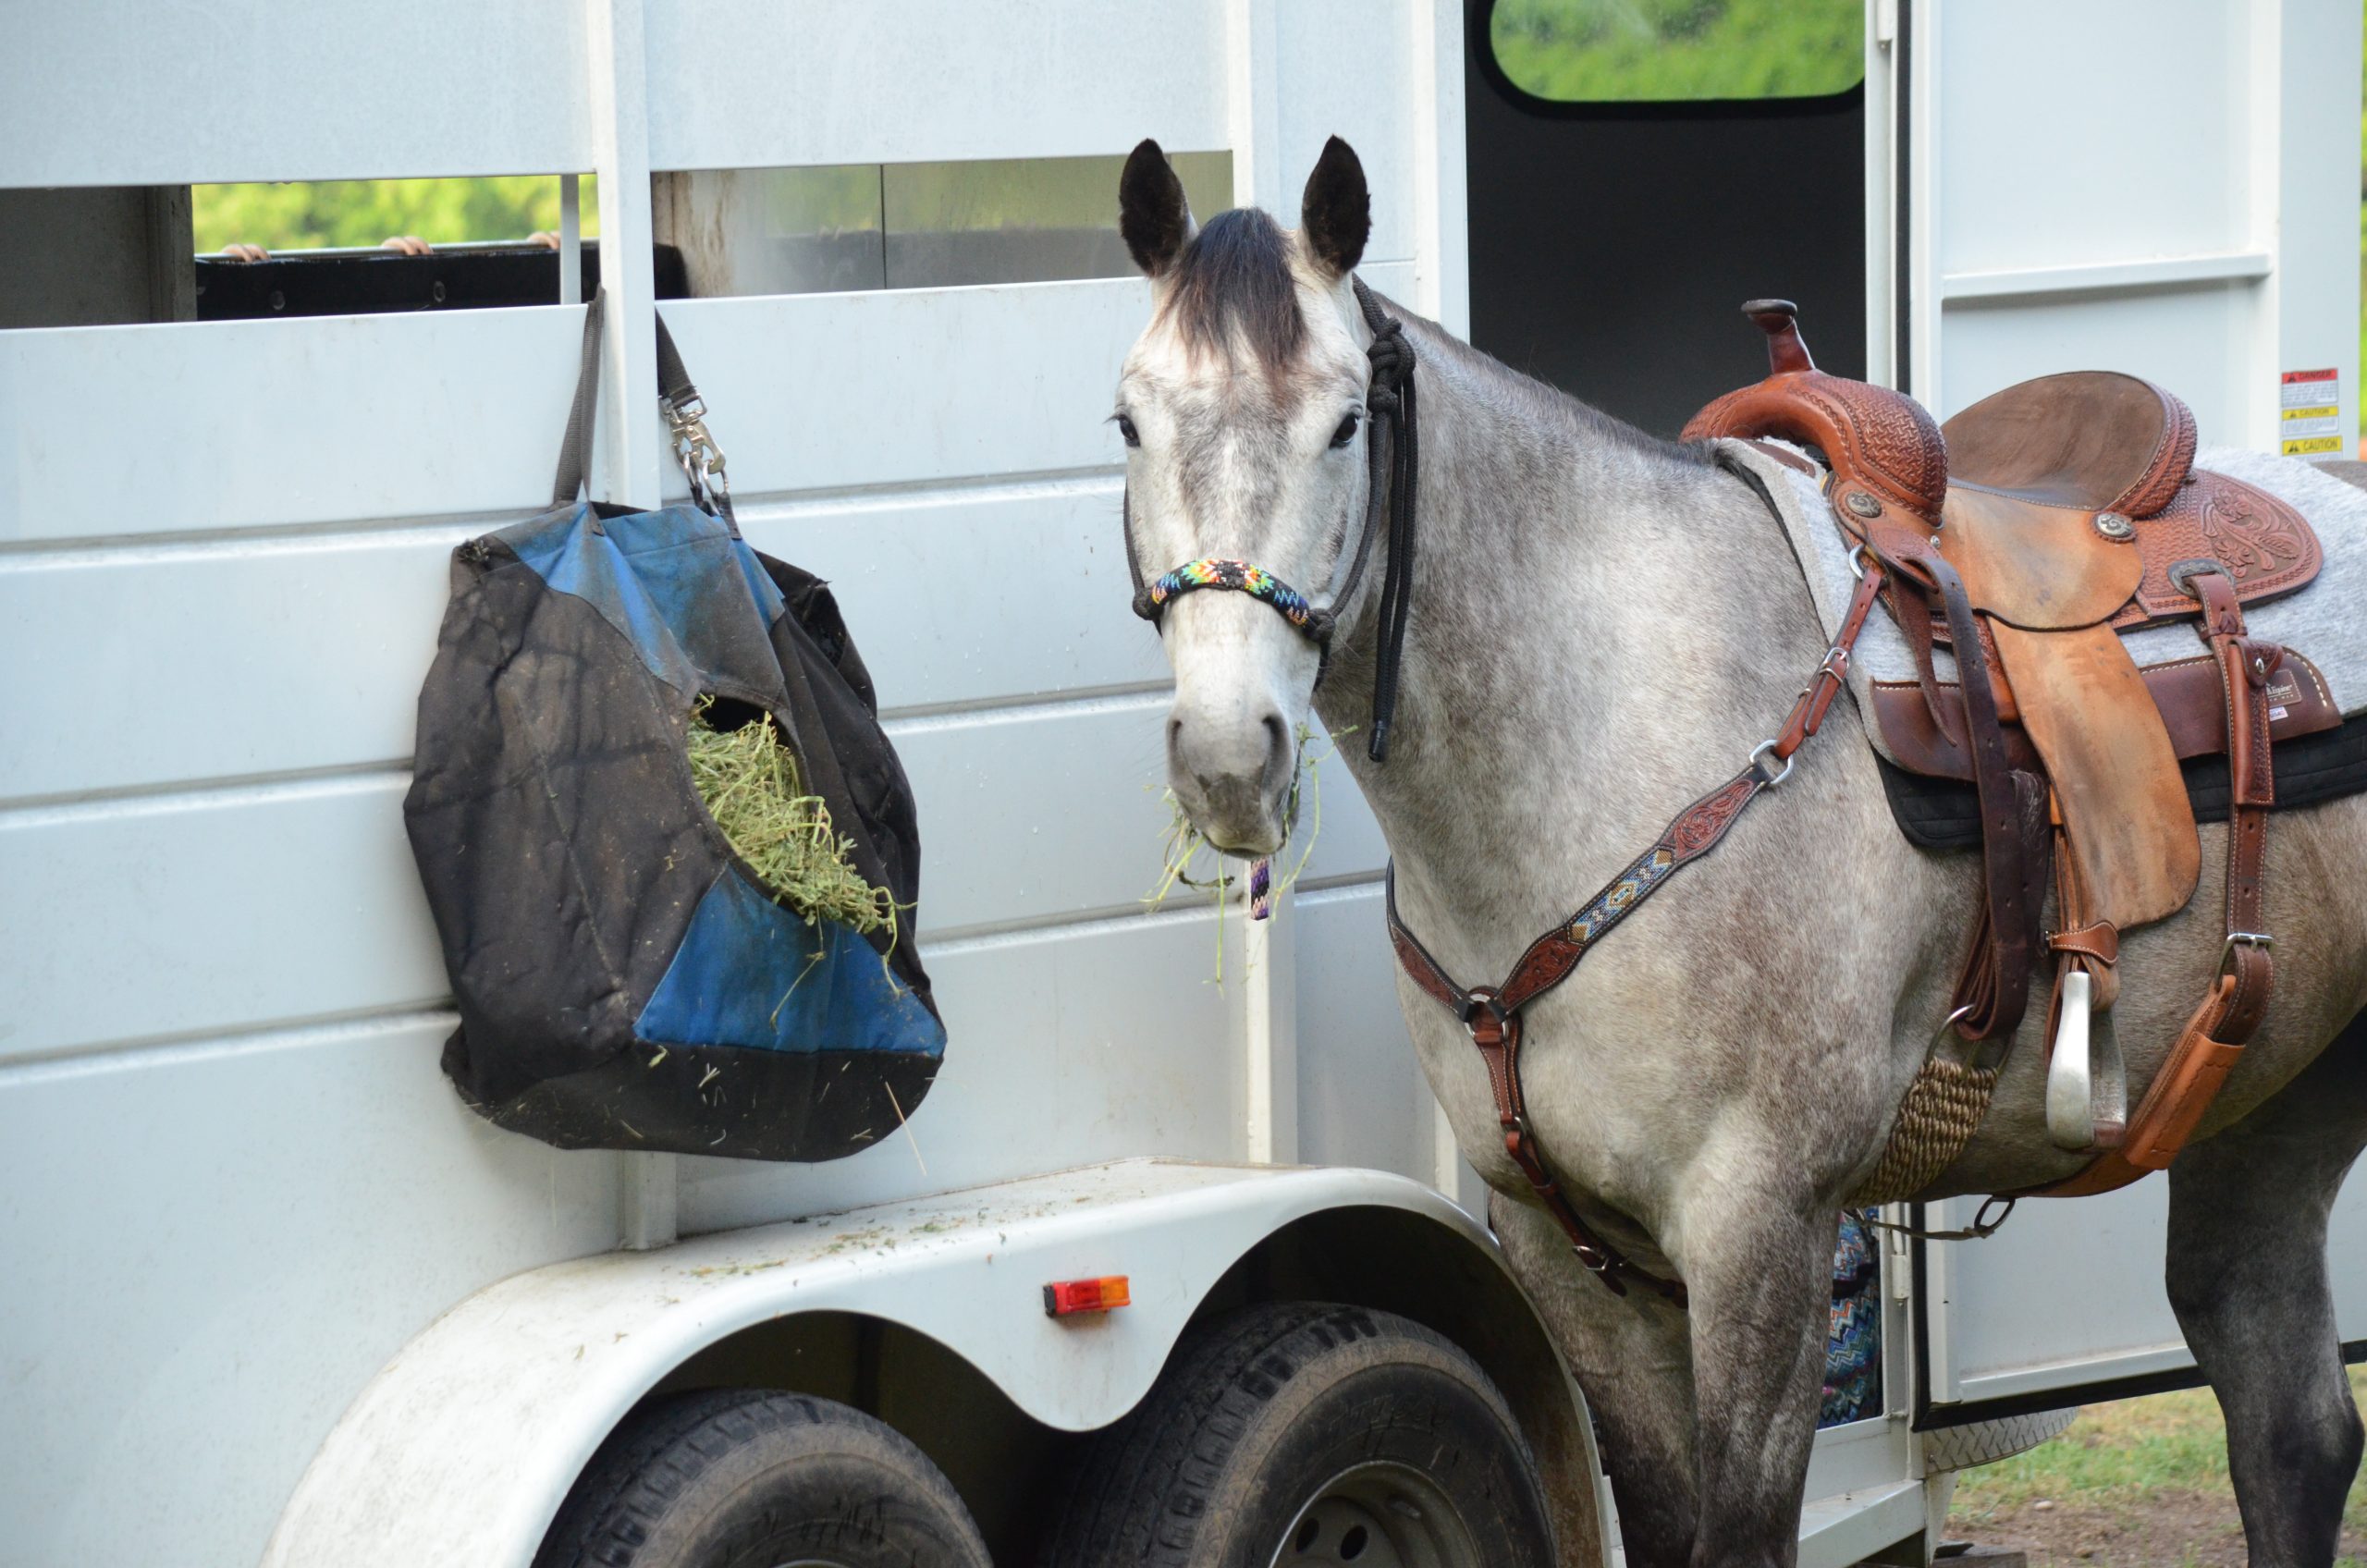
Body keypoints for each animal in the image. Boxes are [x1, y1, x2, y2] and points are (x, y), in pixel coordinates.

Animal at [1110, 135, 2367, 1566]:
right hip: (2271, 1099)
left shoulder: (1758, 1235)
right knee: (2288, 1425)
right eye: (1129, 423)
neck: (1612, 735)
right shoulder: (1571, 1255)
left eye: (1342, 425)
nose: (1227, 753)